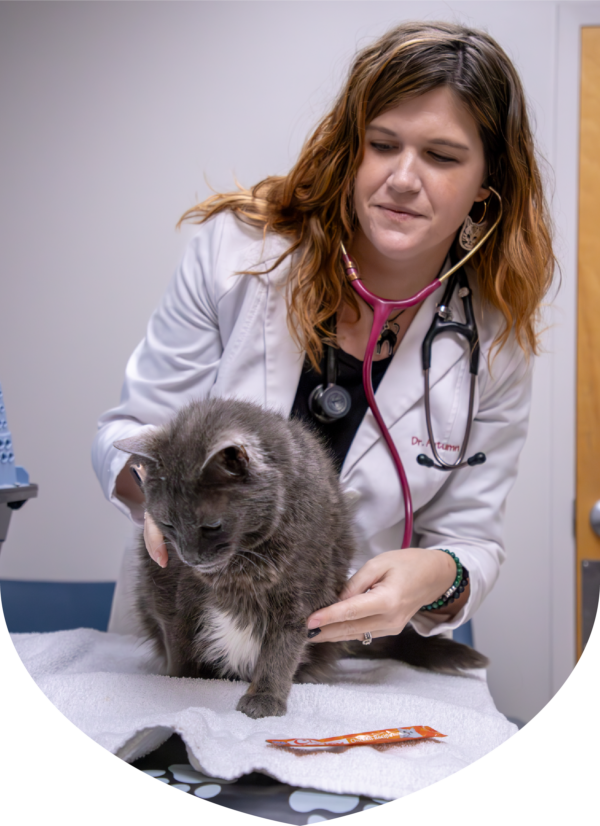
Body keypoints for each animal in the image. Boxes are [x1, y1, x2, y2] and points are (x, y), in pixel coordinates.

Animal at [113, 398, 488, 716]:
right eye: (166, 524)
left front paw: (264, 699)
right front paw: (183, 682)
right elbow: (179, 644)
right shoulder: (172, 595)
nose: (190, 557)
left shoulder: (300, 592)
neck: (244, 564)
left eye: (212, 526)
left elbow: (281, 647)